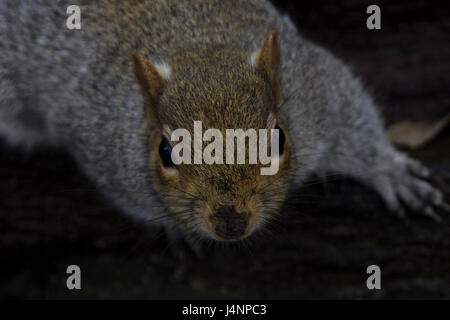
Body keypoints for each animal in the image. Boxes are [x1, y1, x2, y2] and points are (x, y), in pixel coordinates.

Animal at [0, 0, 446, 245]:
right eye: (166, 152)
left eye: (277, 140)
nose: (230, 221)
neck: (195, 45)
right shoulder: (100, 143)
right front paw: (176, 228)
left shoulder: (316, 93)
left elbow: (356, 121)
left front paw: (392, 173)